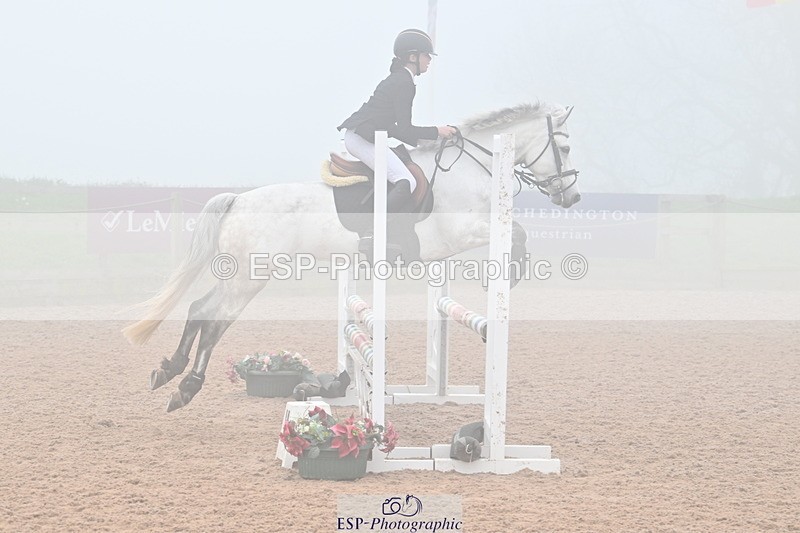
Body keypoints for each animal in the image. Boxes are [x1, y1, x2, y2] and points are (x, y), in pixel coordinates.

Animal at [122, 101, 581, 412]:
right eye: (564, 147)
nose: (572, 197)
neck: (472, 168)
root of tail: (238, 200)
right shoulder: (461, 232)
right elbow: (516, 232)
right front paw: (510, 273)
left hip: (239, 274)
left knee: (199, 309)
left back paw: (169, 371)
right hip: (251, 276)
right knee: (215, 320)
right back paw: (186, 387)